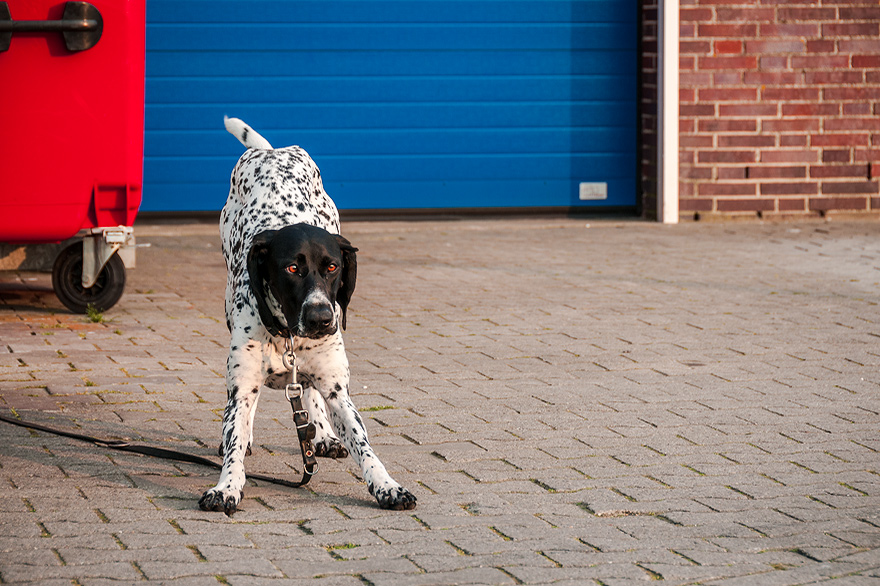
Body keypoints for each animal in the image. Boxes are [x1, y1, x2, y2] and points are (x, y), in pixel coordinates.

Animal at [200, 117, 420, 512]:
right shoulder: (241, 384)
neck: (288, 335)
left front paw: (387, 485)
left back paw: (322, 433)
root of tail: (272, 151)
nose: (321, 318)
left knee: (309, 391)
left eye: (333, 267)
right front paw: (227, 485)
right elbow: (236, 437)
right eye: (291, 269)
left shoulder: (337, 389)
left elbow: (364, 445)